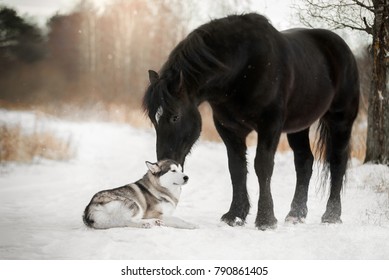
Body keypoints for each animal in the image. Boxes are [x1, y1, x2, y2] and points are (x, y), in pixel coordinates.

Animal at [142, 13, 358, 230]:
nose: (163, 163)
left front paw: (265, 220)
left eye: (175, 116)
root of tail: (343, 48)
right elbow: (237, 168)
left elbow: (262, 166)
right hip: (299, 126)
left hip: (341, 120)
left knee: (337, 161)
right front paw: (235, 215)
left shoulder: (270, 125)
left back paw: (331, 215)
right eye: (153, 119)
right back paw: (295, 214)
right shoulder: (229, 128)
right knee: (304, 162)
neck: (241, 69)